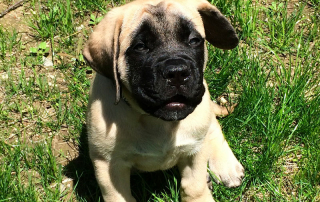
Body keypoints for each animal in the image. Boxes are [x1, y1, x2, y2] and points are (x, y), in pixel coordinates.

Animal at [84, 0, 244, 201]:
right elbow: (118, 197)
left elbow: (194, 187)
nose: (177, 72)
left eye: (194, 40)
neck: (157, 122)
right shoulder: (108, 164)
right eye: (140, 47)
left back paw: (226, 165)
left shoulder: (195, 151)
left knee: (212, 126)